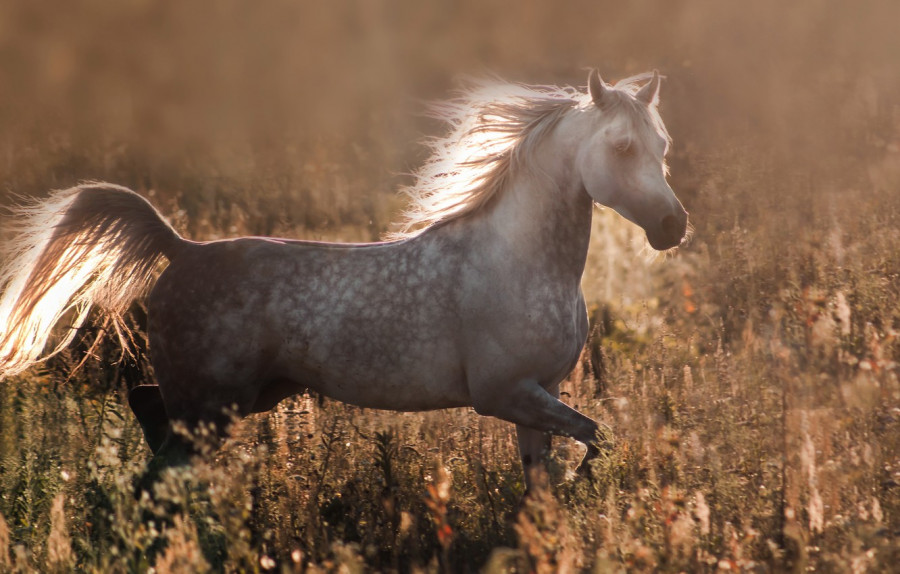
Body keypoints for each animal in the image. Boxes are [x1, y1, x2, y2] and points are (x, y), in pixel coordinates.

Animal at [1, 71, 688, 490]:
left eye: (662, 146)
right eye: (622, 146)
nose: (672, 226)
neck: (519, 262)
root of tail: (182, 249)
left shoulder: (537, 394)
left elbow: (547, 476)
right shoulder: (505, 393)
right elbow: (598, 438)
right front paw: (587, 486)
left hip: (241, 398)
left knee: (149, 415)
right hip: (211, 403)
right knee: (159, 464)